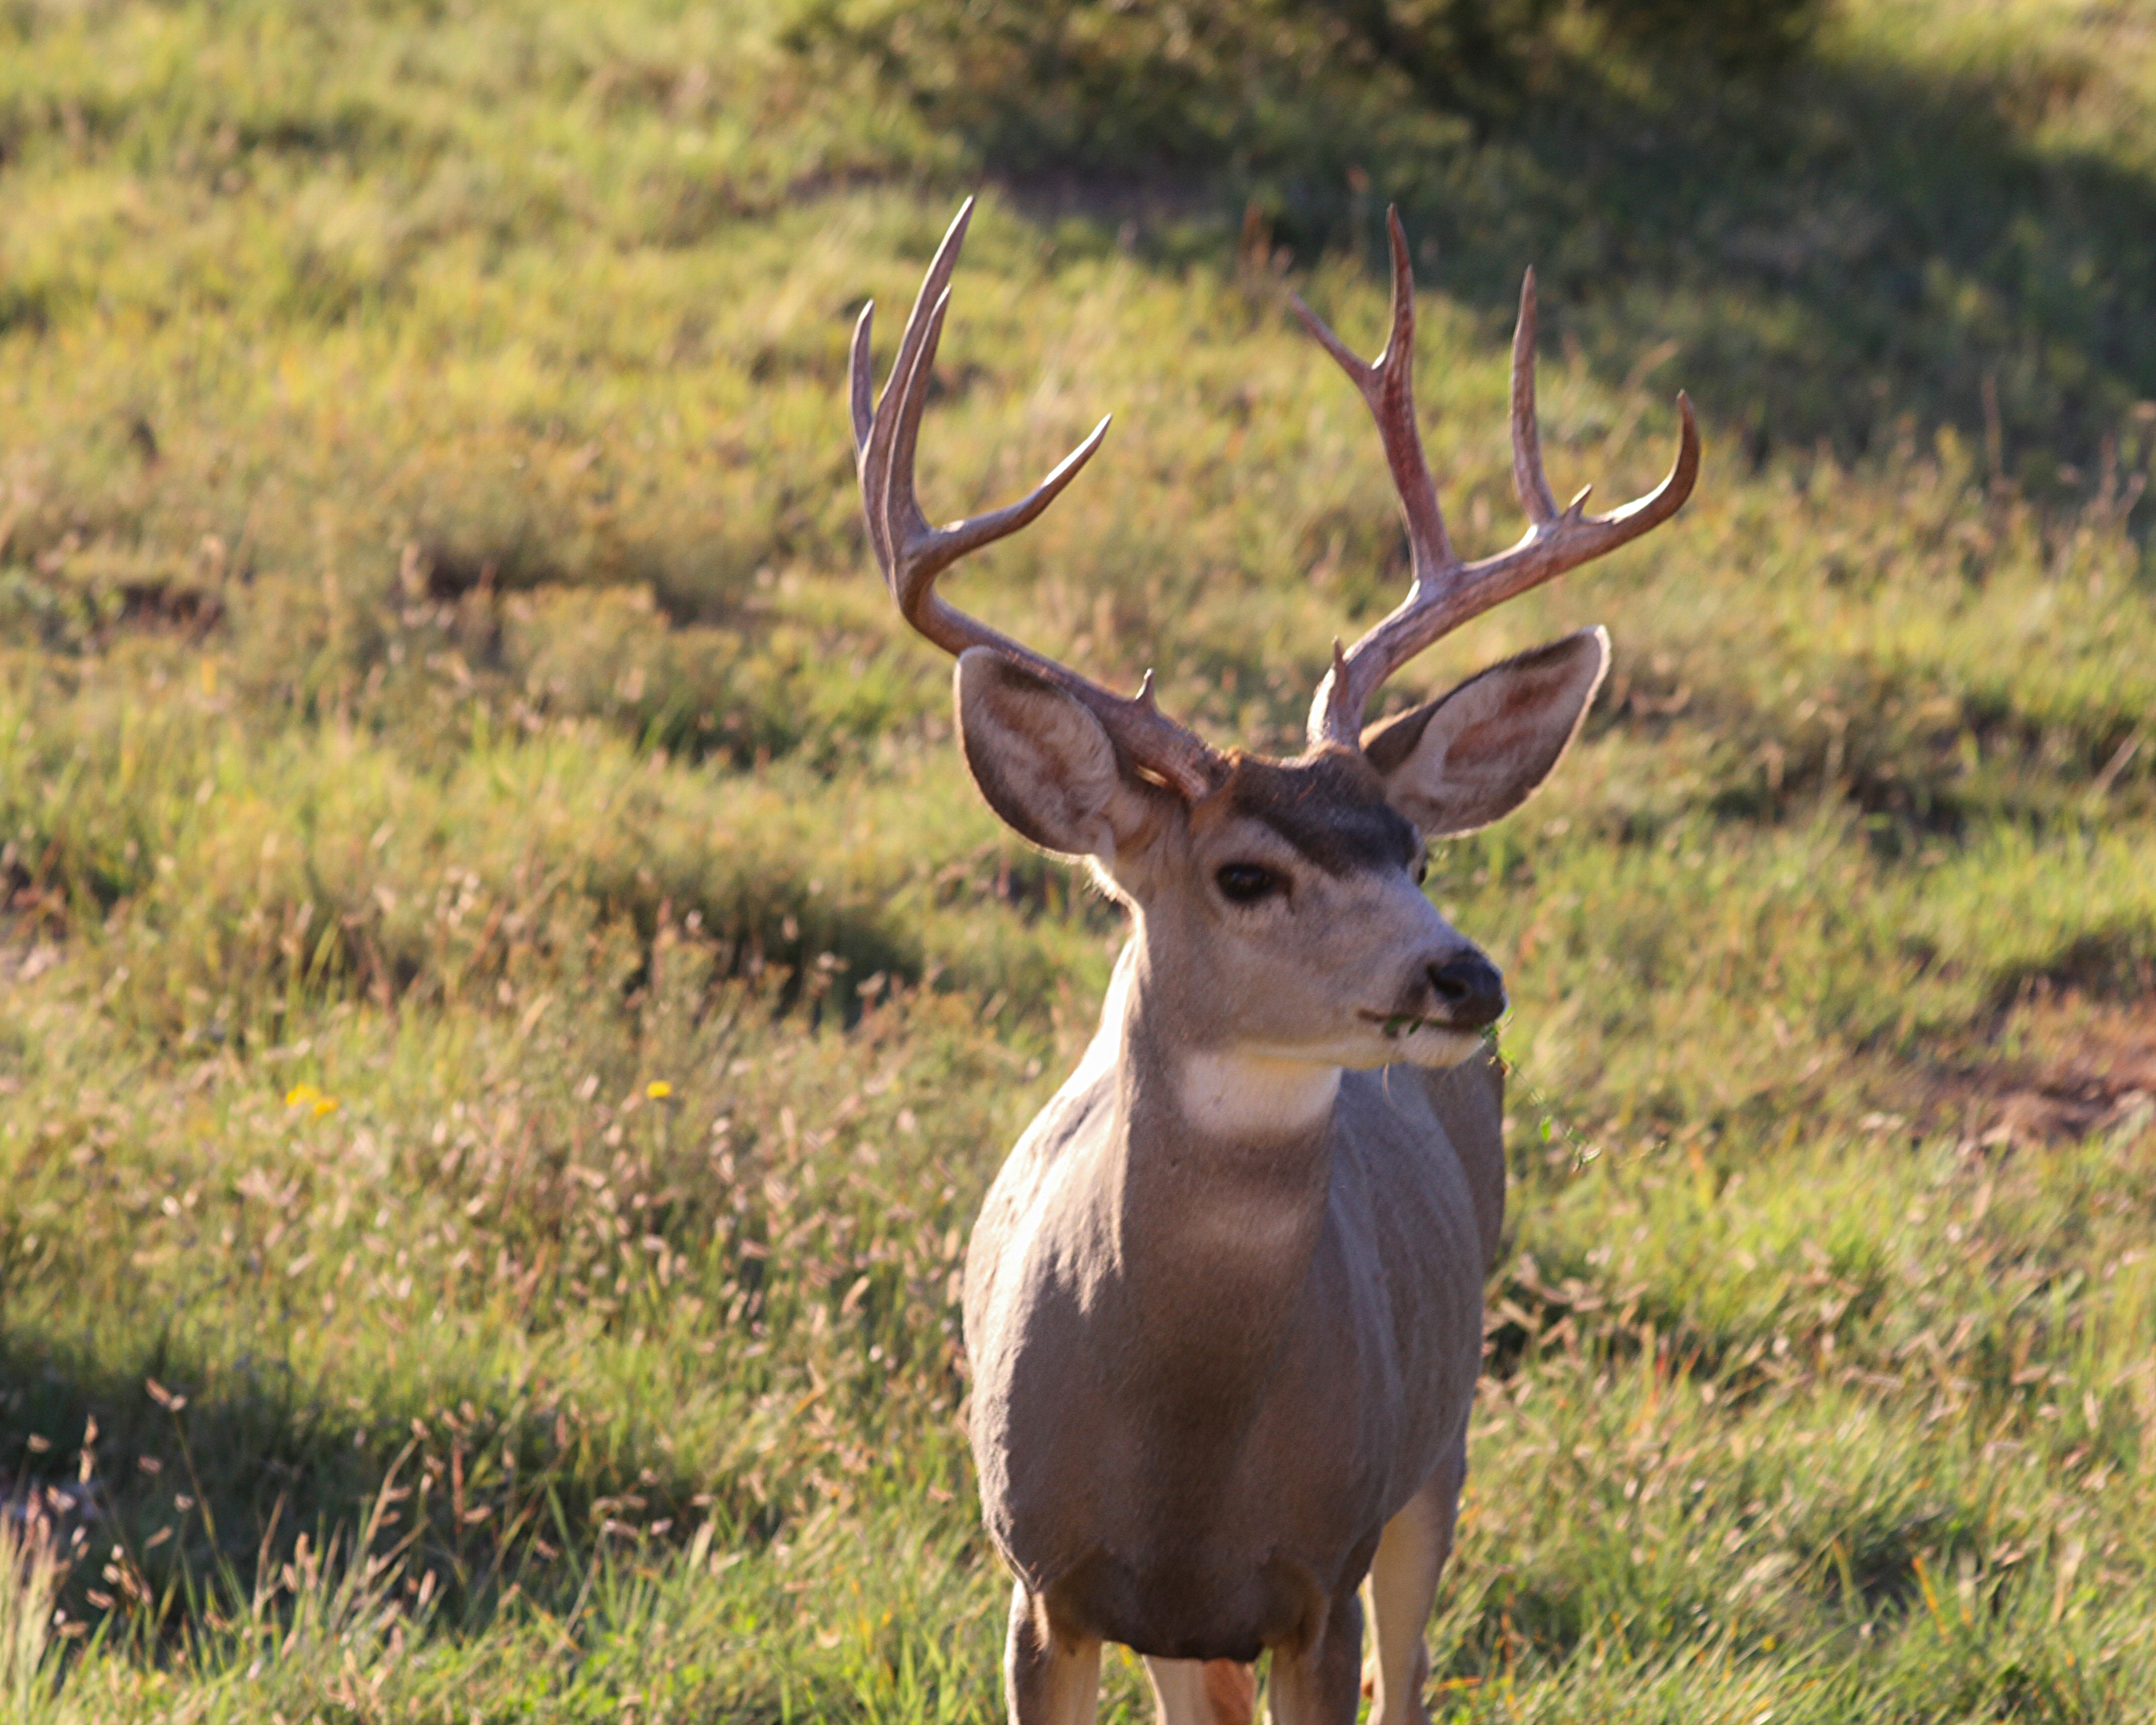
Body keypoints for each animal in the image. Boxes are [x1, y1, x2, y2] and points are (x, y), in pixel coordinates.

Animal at [849, 206, 1690, 1725]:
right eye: (1244, 874)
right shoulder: (1041, 1582)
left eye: (1414, 849)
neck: (1185, 1445)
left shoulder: (1321, 1574)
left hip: (1440, 1445)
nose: (1463, 977)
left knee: (1417, 1671)